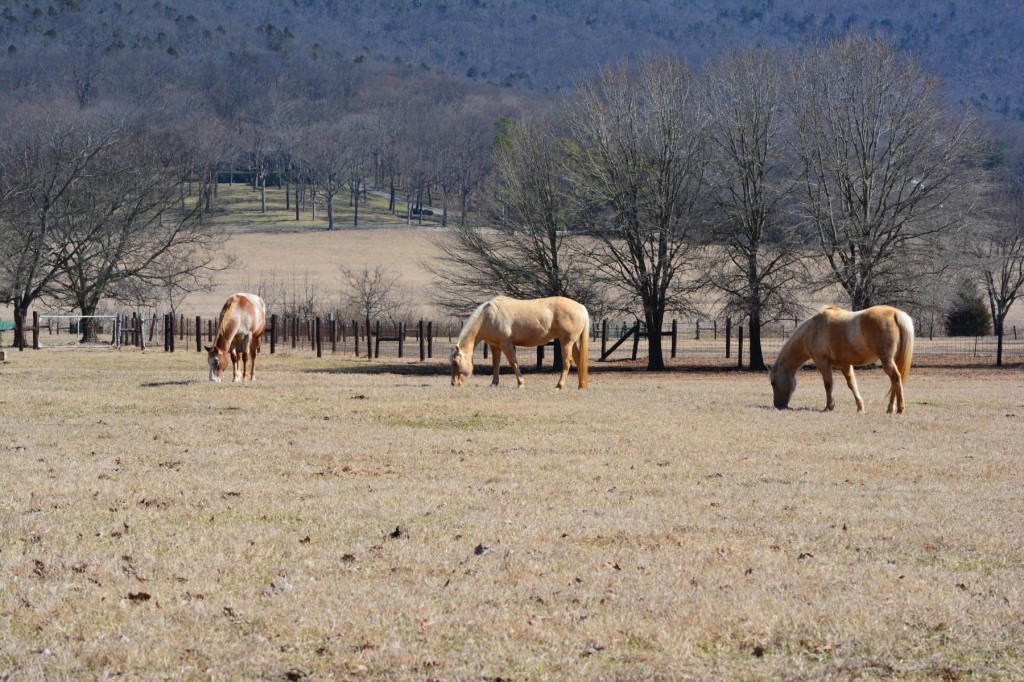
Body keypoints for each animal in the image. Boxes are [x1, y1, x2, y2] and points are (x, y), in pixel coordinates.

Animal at [450, 292, 589, 387]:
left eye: (456, 363)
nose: (454, 384)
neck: (489, 316)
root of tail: (581, 307)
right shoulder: (495, 346)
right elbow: (495, 364)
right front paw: (494, 383)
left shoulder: (506, 344)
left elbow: (513, 362)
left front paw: (520, 383)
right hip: (572, 342)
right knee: (578, 359)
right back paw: (581, 385)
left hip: (566, 342)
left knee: (567, 361)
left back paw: (559, 386)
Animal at [765, 305, 917, 411]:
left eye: (773, 383)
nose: (777, 405)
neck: (813, 330)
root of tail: (895, 313)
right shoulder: (845, 364)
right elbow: (852, 384)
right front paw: (860, 408)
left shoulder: (822, 362)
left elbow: (828, 384)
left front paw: (829, 407)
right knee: (895, 381)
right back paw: (890, 409)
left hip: (887, 361)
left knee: (896, 379)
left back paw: (898, 409)